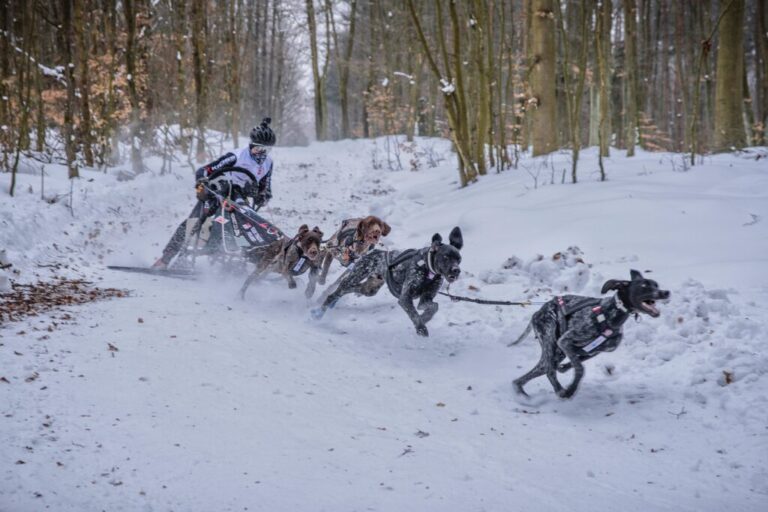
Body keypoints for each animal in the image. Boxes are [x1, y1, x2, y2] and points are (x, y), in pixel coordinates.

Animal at [310, 227, 462, 338]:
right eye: (446, 257)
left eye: (459, 259)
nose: (456, 270)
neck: (427, 269)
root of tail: (372, 252)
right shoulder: (405, 298)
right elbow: (414, 314)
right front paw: (421, 328)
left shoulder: (426, 298)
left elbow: (433, 307)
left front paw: (425, 318)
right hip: (354, 278)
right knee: (334, 294)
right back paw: (319, 312)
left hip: (369, 289)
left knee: (354, 289)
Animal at [510, 270, 672, 398]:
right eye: (644, 286)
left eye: (656, 285)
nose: (666, 292)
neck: (610, 314)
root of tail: (537, 312)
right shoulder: (565, 341)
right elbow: (580, 369)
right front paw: (571, 389)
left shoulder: (591, 351)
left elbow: (575, 364)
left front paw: (565, 371)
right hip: (550, 343)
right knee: (549, 371)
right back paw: (560, 390)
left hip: (556, 354)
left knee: (530, 375)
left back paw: (522, 393)